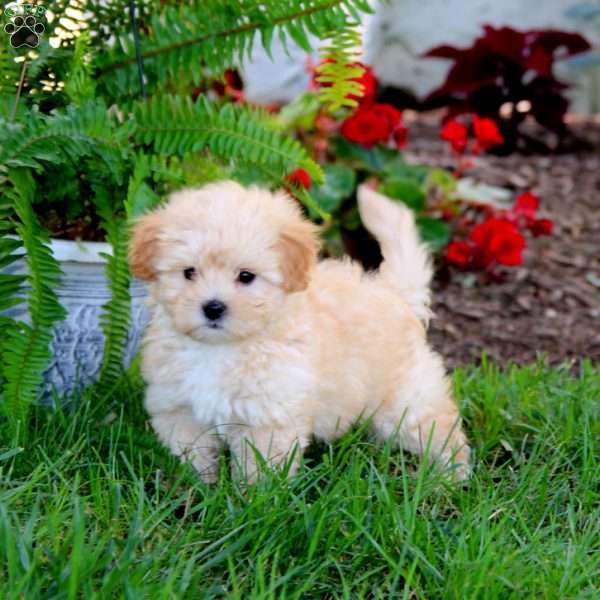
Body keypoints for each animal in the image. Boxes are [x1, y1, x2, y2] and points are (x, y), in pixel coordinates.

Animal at [129, 180, 472, 480]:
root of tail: (394, 293)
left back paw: (449, 478)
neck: (220, 348)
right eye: (188, 272)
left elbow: (259, 470)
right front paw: (197, 488)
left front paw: (254, 503)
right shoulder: (179, 409)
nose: (213, 308)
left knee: (440, 430)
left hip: (405, 400)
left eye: (246, 276)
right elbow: (192, 454)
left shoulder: (268, 420)